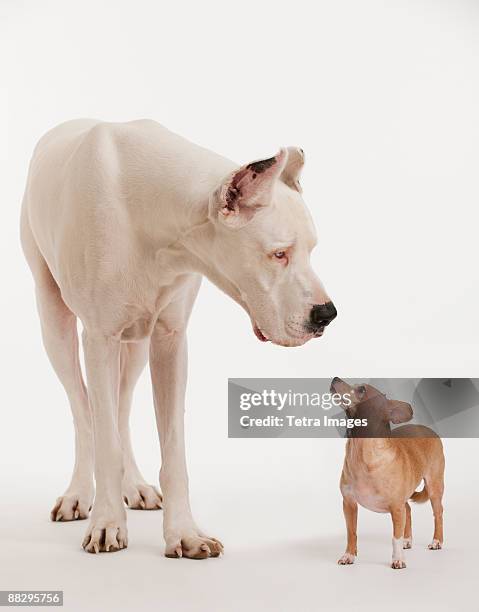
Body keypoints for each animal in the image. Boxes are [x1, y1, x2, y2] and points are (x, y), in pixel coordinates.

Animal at [19, 117, 338, 556]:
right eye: (278, 254)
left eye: (312, 249)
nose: (327, 314)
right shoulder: (100, 338)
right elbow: (103, 439)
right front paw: (107, 522)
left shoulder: (170, 341)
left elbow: (172, 448)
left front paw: (184, 533)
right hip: (55, 323)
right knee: (85, 412)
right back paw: (79, 493)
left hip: (136, 344)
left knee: (119, 407)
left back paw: (133, 485)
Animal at [332, 378, 444, 568]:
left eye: (361, 389)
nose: (335, 379)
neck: (361, 453)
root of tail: (427, 429)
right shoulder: (349, 504)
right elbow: (351, 532)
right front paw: (349, 555)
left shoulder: (396, 508)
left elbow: (395, 537)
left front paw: (398, 559)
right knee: (409, 509)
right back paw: (408, 540)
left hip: (434, 488)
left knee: (438, 513)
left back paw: (437, 541)